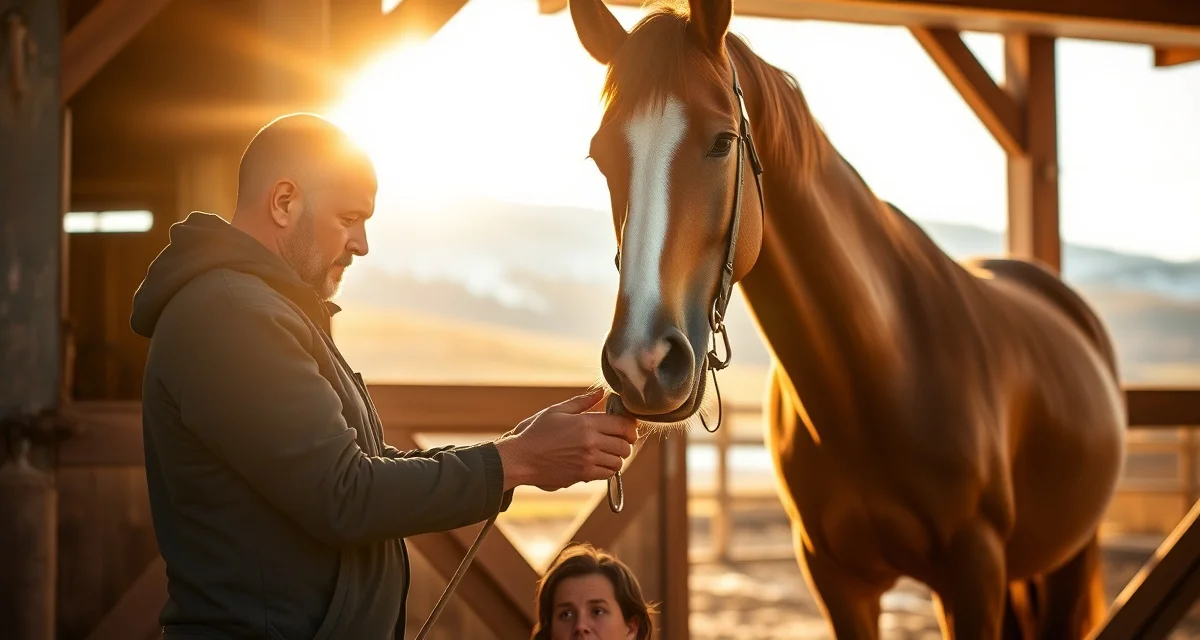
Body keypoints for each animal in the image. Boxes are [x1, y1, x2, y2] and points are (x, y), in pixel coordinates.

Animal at [565, 0, 1127, 637]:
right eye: (601, 155)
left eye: (722, 141)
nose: (642, 363)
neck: (877, 372)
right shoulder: (839, 581)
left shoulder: (973, 574)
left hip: (1066, 560)